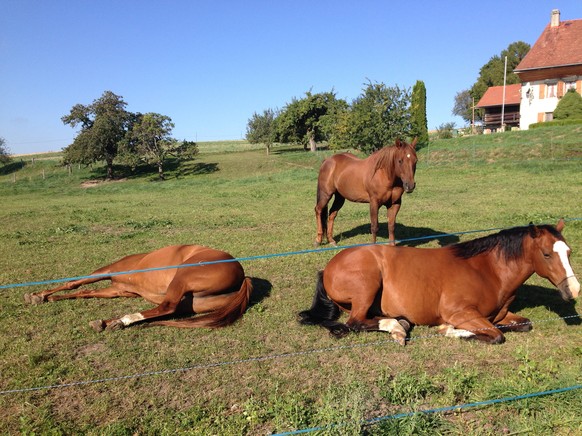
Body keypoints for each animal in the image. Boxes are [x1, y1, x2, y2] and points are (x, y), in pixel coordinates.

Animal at [24, 245, 253, 330]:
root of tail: (242, 277)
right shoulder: (116, 289)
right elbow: (85, 292)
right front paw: (49, 297)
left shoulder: (108, 270)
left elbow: (75, 283)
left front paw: (39, 294)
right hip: (194, 302)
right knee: (168, 310)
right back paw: (113, 322)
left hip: (182, 277)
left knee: (167, 307)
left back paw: (116, 321)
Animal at [302, 221, 580, 344]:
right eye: (546, 254)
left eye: (569, 252)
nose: (574, 290)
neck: (487, 271)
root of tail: (328, 267)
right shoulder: (461, 313)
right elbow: (495, 335)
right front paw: (448, 330)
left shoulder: (501, 314)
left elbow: (523, 324)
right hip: (367, 286)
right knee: (356, 323)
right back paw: (397, 328)